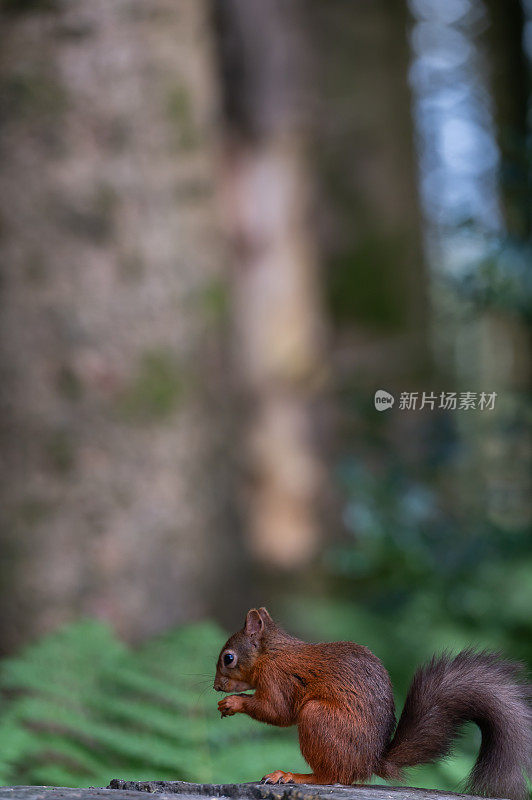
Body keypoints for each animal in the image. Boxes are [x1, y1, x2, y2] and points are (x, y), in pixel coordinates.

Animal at [213, 608, 532, 800]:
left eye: (229, 658)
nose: (216, 687)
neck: (271, 653)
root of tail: (371, 760)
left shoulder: (277, 678)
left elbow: (278, 712)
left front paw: (233, 703)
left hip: (317, 717)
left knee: (333, 777)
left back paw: (293, 775)